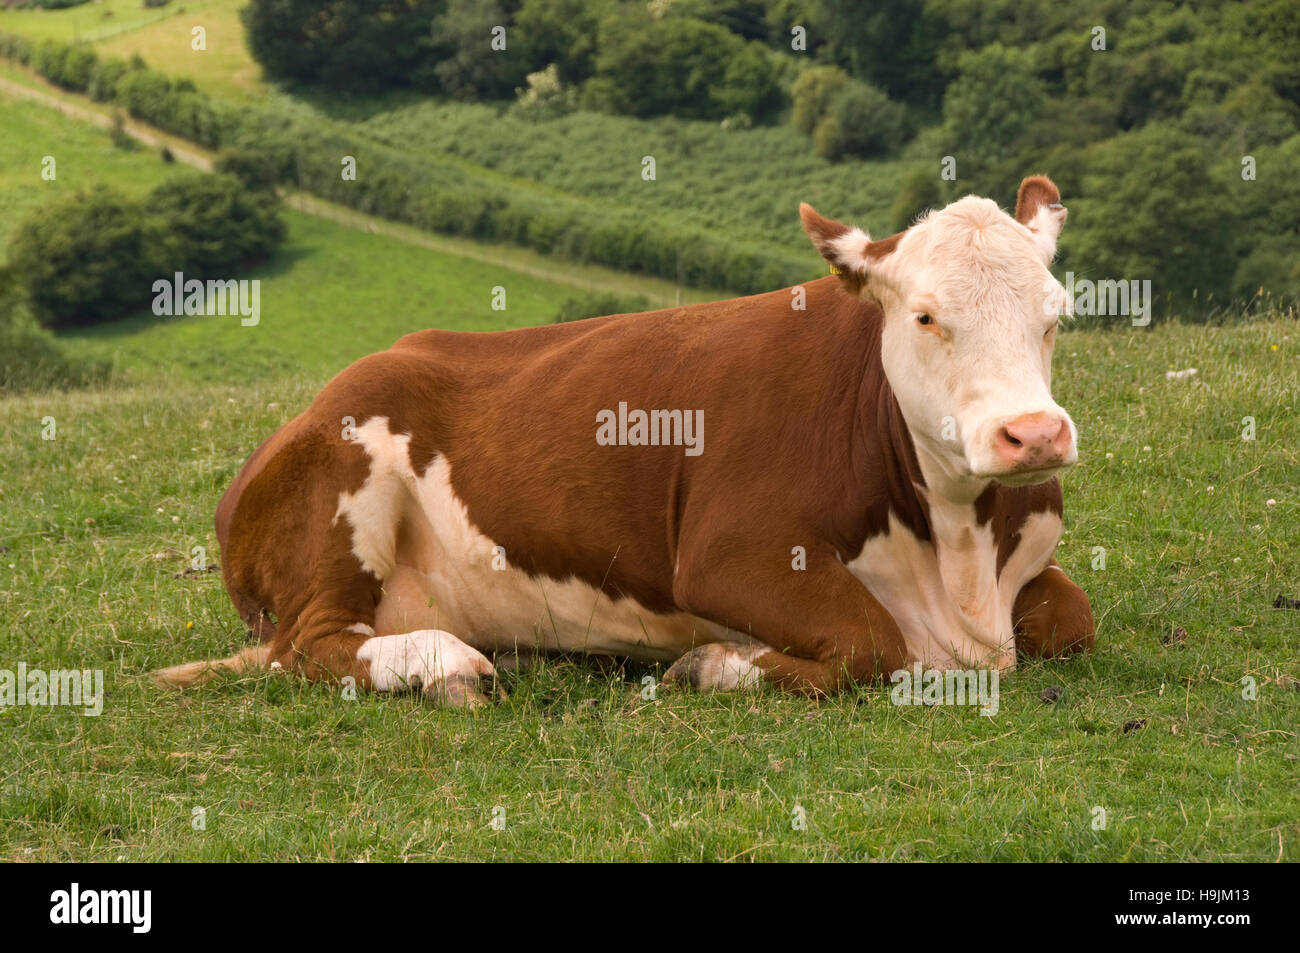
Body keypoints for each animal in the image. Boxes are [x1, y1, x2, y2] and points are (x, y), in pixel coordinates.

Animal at [157, 172, 1102, 707]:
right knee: (304, 648)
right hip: (344, 486)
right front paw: (714, 665)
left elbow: (1074, 620)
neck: (957, 558)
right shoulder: (728, 553)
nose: (1033, 435)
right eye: (926, 316)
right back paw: (442, 665)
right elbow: (874, 643)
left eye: (1056, 314)